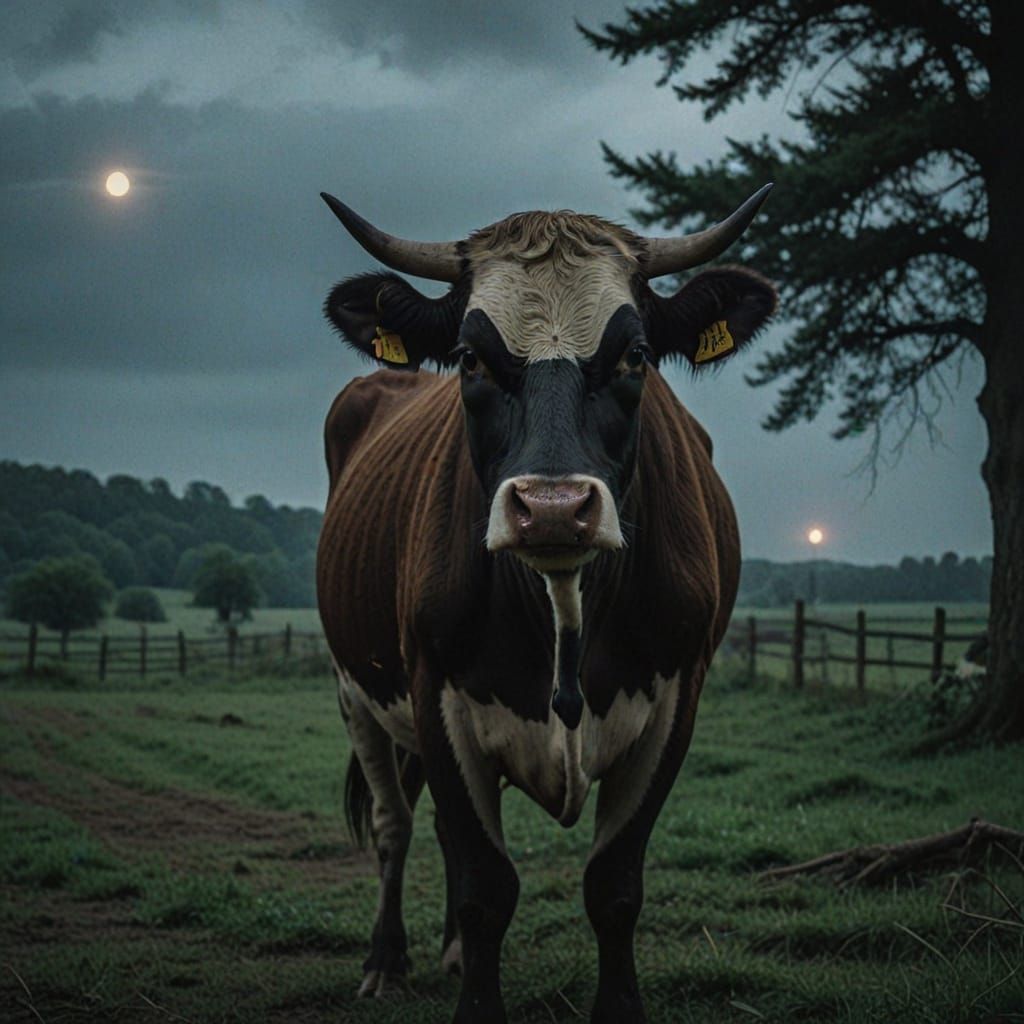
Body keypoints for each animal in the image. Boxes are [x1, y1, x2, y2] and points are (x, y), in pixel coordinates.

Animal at [316, 186, 776, 1023]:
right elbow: (484, 887)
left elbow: (614, 886)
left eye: (635, 356)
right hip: (354, 691)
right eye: (470, 357)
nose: (555, 509)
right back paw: (386, 958)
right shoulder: (434, 692)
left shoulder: (676, 700)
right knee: (395, 825)